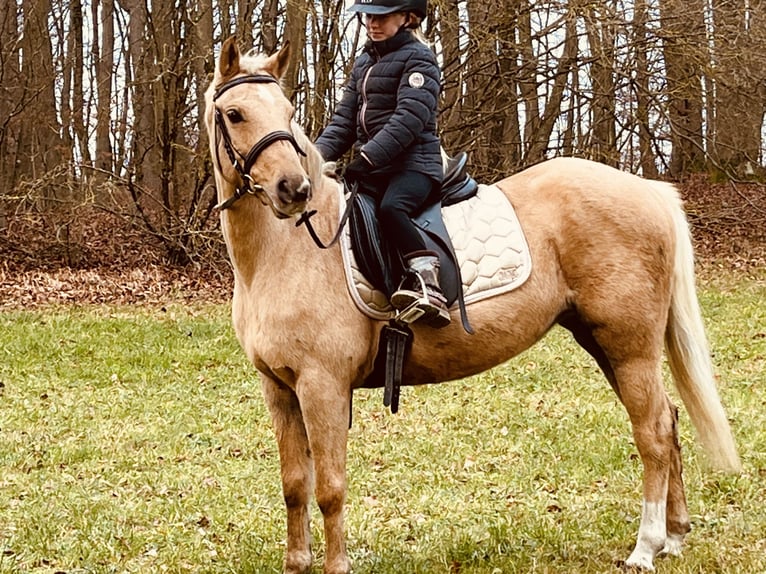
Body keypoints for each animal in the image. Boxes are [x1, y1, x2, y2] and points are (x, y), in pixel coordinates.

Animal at [206, 38, 744, 572]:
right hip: (605, 344)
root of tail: (649, 190)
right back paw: (674, 535)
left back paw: (647, 546)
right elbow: (295, 485)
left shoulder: (324, 386)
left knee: (652, 432)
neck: (291, 252)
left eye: (287, 112)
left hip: (629, 347)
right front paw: (297, 561)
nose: (294, 190)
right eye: (234, 113)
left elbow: (330, 490)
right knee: (668, 422)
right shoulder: (279, 389)